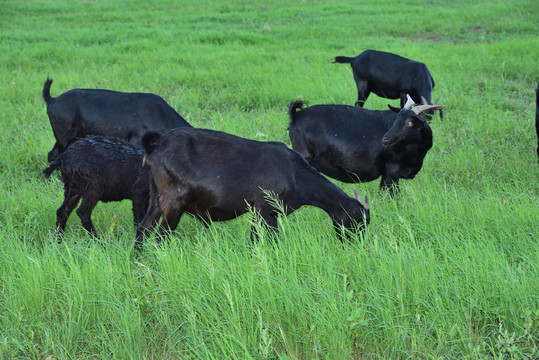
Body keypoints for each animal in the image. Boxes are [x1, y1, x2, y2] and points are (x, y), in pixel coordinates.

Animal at [136, 128, 372, 249]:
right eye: (358, 222)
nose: (358, 247)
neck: (296, 174)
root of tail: (156, 145)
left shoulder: (273, 214)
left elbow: (274, 239)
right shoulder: (261, 208)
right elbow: (255, 240)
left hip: (156, 197)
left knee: (143, 229)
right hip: (174, 202)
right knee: (160, 237)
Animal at [288, 95, 446, 194]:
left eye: (410, 123)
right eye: (396, 119)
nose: (385, 139)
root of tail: (296, 116)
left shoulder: (385, 173)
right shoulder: (392, 169)